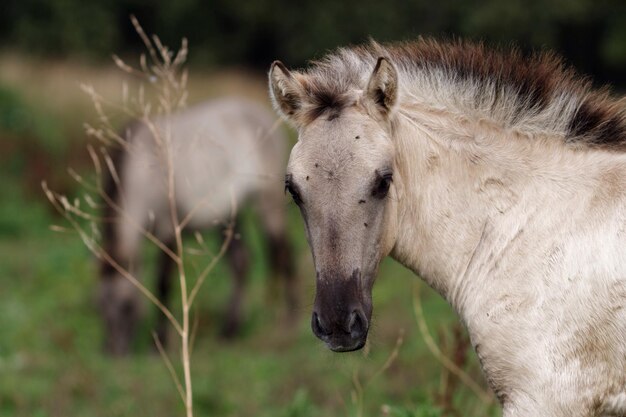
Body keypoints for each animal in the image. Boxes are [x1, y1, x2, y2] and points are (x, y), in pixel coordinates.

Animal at [98, 97, 294, 354]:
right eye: (99, 306)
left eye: (127, 305)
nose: (113, 353)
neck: (144, 171)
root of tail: (259, 112)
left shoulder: (168, 231)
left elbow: (163, 284)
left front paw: (159, 343)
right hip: (230, 216)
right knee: (241, 263)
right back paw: (230, 330)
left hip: (268, 204)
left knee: (283, 255)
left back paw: (287, 321)